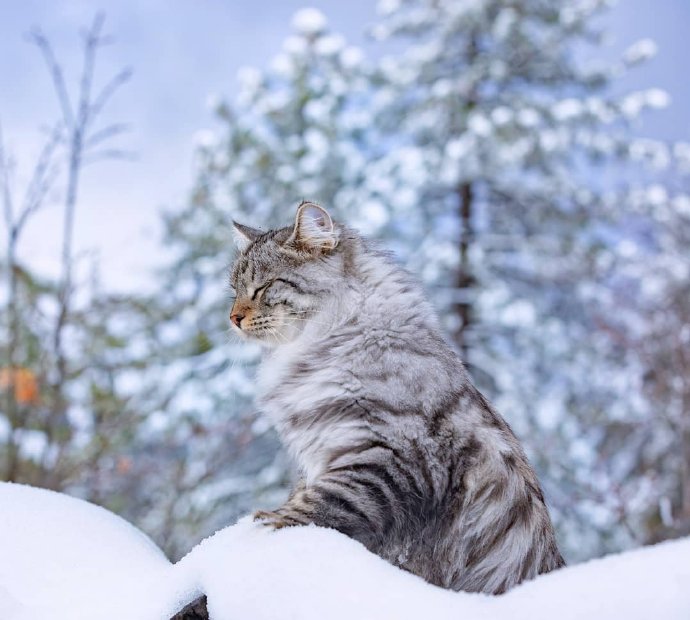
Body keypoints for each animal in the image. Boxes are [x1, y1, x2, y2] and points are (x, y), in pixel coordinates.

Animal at [228, 201, 560, 592]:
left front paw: (265, 522)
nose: (232, 318)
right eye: (234, 290)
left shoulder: (389, 456)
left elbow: (319, 504)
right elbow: (305, 493)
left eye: (263, 286)